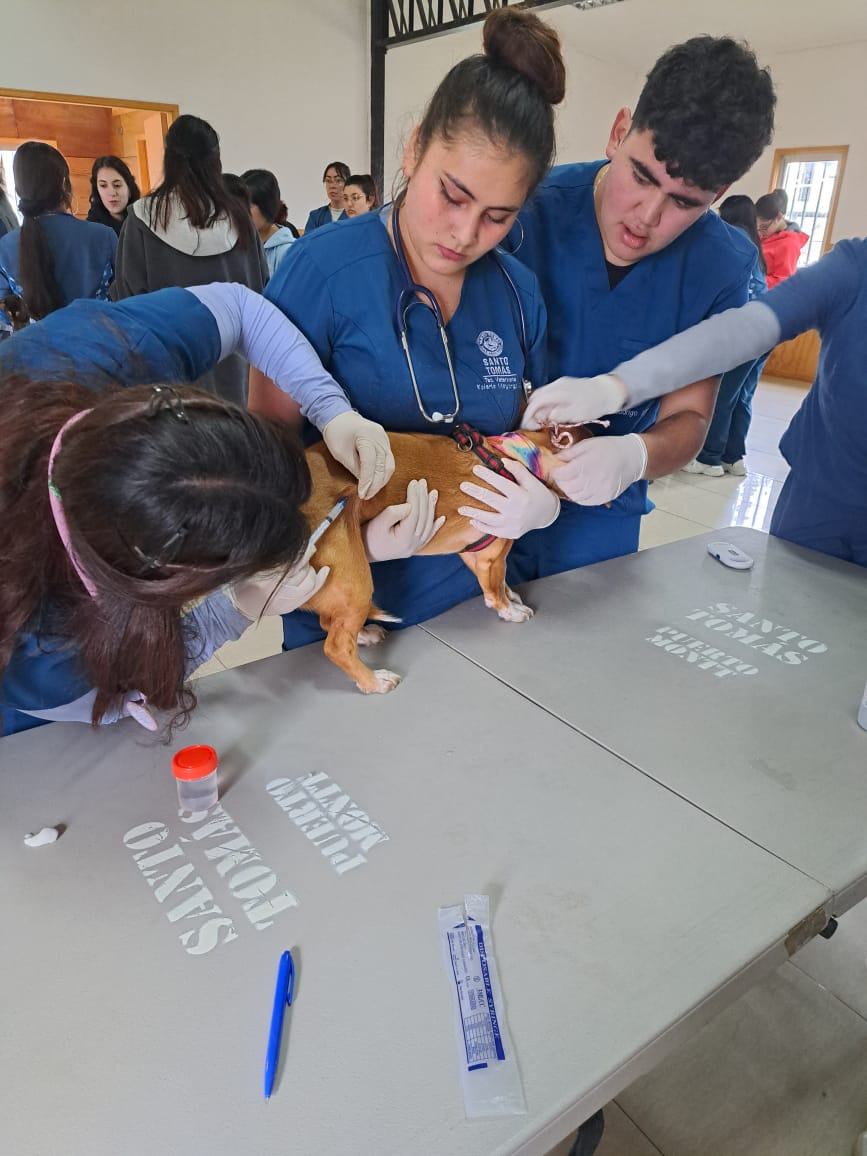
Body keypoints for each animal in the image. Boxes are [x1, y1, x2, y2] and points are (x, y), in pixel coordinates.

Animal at [298, 427, 591, 688]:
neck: (511, 456)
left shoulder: (475, 556)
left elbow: (501, 580)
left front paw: (511, 595)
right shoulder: (491, 557)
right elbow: (495, 590)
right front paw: (510, 610)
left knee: (329, 622)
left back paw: (365, 635)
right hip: (356, 583)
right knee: (336, 646)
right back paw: (373, 681)